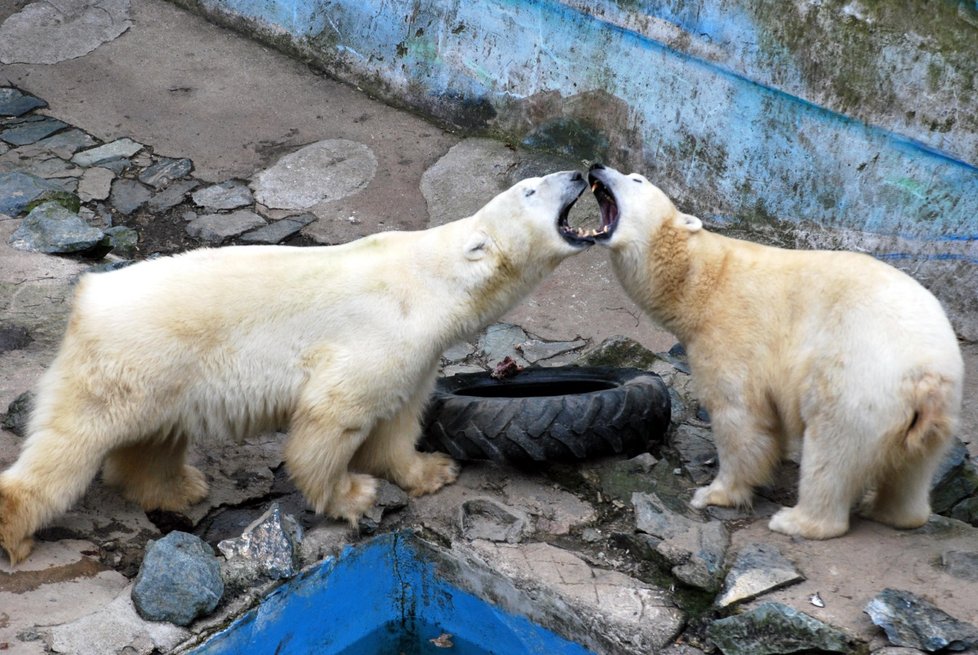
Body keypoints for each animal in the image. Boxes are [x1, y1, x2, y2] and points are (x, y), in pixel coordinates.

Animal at [0, 169, 588, 564]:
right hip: (131, 360)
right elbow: (333, 417)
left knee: (153, 436)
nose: (580, 172)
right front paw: (353, 496)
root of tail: (88, 297)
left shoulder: (418, 355)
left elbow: (400, 419)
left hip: (162, 374)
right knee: (71, 446)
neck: (432, 282)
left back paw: (178, 488)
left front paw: (433, 472)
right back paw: (17, 531)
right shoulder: (379, 332)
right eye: (531, 189)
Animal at [588, 163, 960, 540]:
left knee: (832, 450)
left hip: (858, 381)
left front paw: (714, 493)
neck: (701, 278)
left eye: (637, 179)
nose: (596, 166)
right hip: (935, 410)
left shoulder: (731, 332)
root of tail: (927, 371)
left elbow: (740, 416)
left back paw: (796, 519)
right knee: (913, 469)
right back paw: (889, 511)